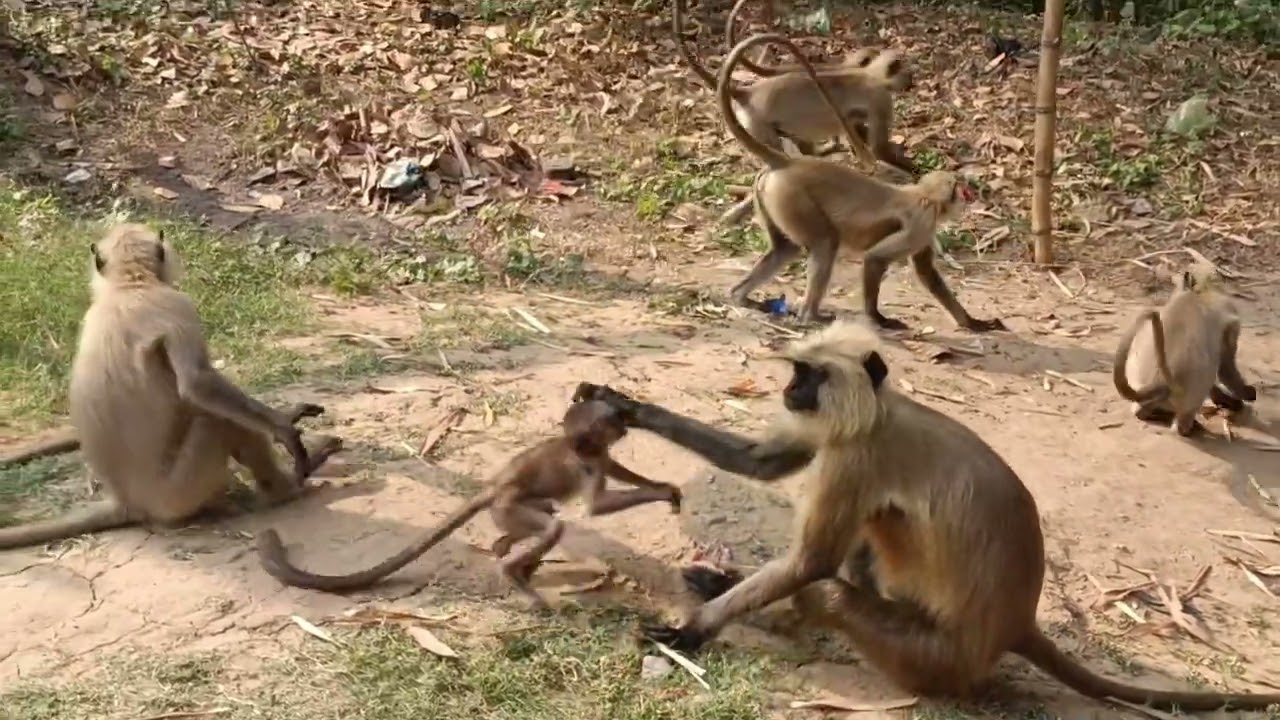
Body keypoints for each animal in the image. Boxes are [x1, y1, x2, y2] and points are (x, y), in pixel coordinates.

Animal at [0, 223, 341, 550]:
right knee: (217, 420)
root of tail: (126, 502)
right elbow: (198, 384)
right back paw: (287, 490)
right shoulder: (179, 305)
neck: (130, 285)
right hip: (178, 493)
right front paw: (284, 427)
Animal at [255, 399, 682, 607]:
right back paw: (513, 570)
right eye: (614, 422)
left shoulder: (599, 457)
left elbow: (621, 473)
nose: (625, 428)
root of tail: (495, 487)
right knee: (552, 524)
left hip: (507, 509)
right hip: (508, 507)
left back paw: (508, 553)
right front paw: (663, 493)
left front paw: (665, 488)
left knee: (542, 519)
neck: (581, 448)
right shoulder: (587, 462)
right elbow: (597, 506)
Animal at [571, 322, 1280, 712]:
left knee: (833, 588)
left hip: (930, 657)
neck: (878, 414)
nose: (791, 389)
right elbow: (762, 463)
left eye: (811, 376)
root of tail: (1013, 627)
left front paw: (693, 630)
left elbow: (812, 562)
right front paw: (623, 404)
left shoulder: (857, 457)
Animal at [717, 33, 1005, 332]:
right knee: (825, 243)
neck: (926, 196)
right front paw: (878, 318)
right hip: (792, 197)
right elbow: (874, 259)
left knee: (786, 249)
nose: (969, 194)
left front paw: (974, 323)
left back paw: (742, 297)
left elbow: (928, 275)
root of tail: (787, 163)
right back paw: (810, 316)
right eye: (961, 189)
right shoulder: (922, 222)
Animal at [1113, 267, 1257, 437]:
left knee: (1139, 410)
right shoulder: (1230, 322)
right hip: (1191, 394)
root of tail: (1161, 381)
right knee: (1183, 423)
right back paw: (1190, 426)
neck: (1198, 294)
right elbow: (1226, 369)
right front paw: (1246, 393)